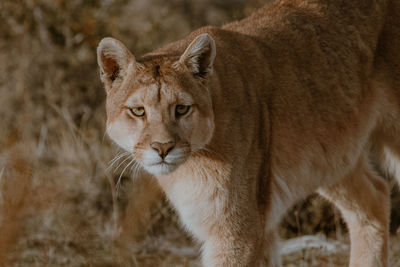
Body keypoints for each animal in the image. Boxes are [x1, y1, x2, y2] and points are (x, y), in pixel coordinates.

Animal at [96, 1, 400, 266]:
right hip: (331, 155)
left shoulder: (238, 229)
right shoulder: (256, 224)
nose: (162, 148)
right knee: (374, 197)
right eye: (138, 111)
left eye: (181, 109)